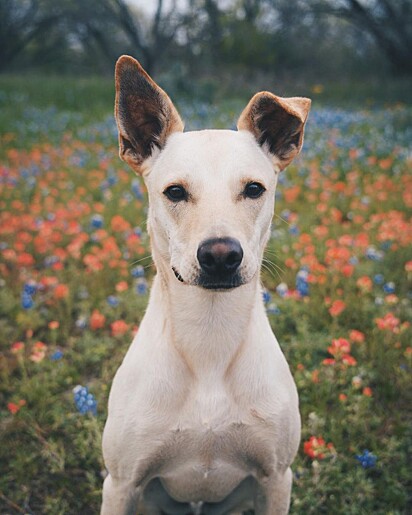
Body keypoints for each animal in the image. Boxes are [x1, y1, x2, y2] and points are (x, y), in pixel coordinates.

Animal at [101, 56, 310, 515]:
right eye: (175, 192)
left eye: (254, 188)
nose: (219, 255)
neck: (209, 338)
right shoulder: (121, 482)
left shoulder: (276, 477)